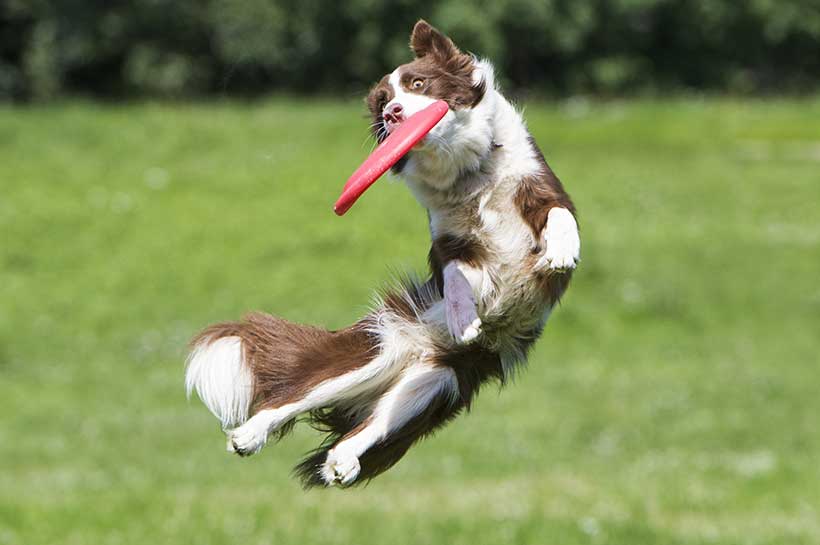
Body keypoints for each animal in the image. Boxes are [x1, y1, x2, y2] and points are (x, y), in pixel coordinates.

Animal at [188, 21, 580, 486]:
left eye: (418, 84)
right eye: (382, 100)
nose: (393, 113)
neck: (467, 174)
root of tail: (415, 350)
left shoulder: (541, 191)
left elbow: (559, 215)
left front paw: (561, 253)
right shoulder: (449, 245)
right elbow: (455, 276)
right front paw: (463, 318)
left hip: (435, 381)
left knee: (373, 423)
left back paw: (342, 460)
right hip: (377, 351)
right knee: (293, 397)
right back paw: (248, 435)